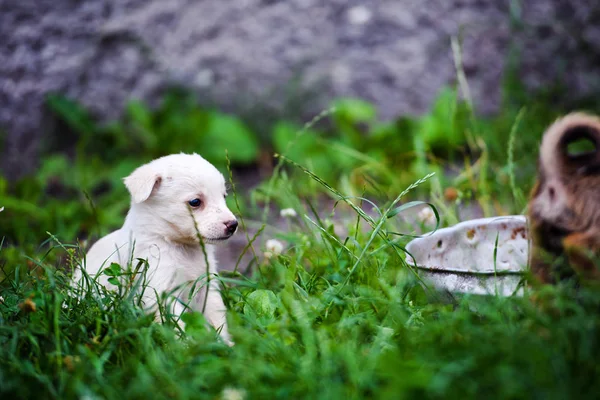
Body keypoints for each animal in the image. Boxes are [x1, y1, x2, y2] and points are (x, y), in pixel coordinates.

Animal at [77, 153, 239, 344]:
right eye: (195, 202)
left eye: (224, 196)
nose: (233, 225)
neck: (180, 246)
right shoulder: (159, 290)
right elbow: (176, 325)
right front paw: (185, 346)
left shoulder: (206, 286)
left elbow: (216, 317)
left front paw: (226, 345)